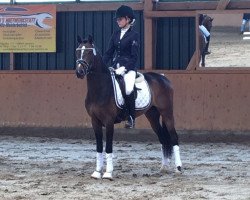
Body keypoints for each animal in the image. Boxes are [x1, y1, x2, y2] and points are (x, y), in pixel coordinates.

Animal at [74, 34, 182, 180]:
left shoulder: (109, 121)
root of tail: (163, 78)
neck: (100, 88)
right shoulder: (94, 121)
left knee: (173, 137)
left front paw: (108, 173)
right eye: (78, 51)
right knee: (163, 139)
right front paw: (97, 172)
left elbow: (108, 147)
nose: (79, 72)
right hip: (152, 115)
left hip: (167, 113)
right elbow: (99, 147)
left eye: (89, 52)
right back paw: (164, 168)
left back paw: (178, 168)